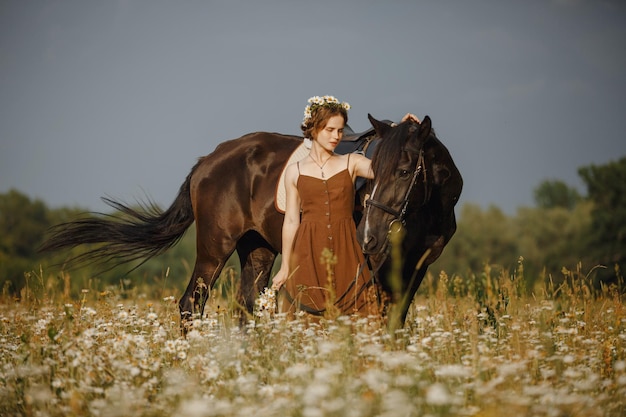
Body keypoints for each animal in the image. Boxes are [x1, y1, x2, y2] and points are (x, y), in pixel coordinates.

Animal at [39, 114, 458, 328]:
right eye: (373, 172)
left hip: (257, 249)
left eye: (404, 171)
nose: (368, 236)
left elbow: (395, 320)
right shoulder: (377, 267)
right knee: (191, 303)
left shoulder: (416, 266)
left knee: (246, 307)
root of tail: (208, 161)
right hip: (214, 248)